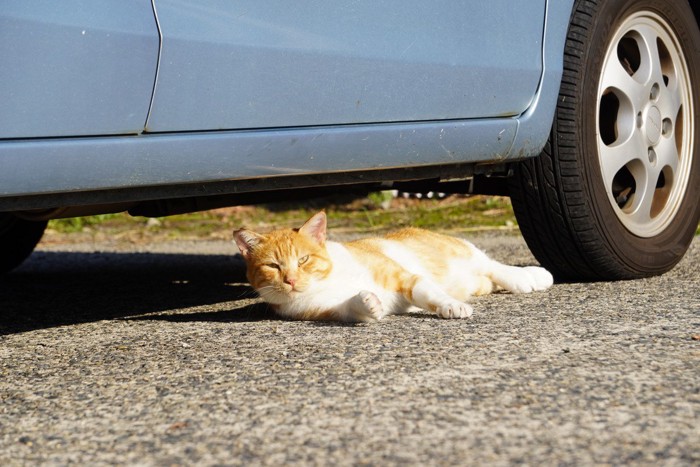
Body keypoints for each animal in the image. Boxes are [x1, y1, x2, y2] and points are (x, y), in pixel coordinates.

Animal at [235, 211, 552, 322]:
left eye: (303, 259)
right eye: (273, 265)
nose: (290, 280)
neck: (327, 281)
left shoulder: (403, 276)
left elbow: (427, 293)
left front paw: (450, 307)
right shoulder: (330, 310)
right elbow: (355, 308)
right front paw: (368, 302)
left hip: (460, 251)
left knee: (492, 264)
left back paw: (530, 277)